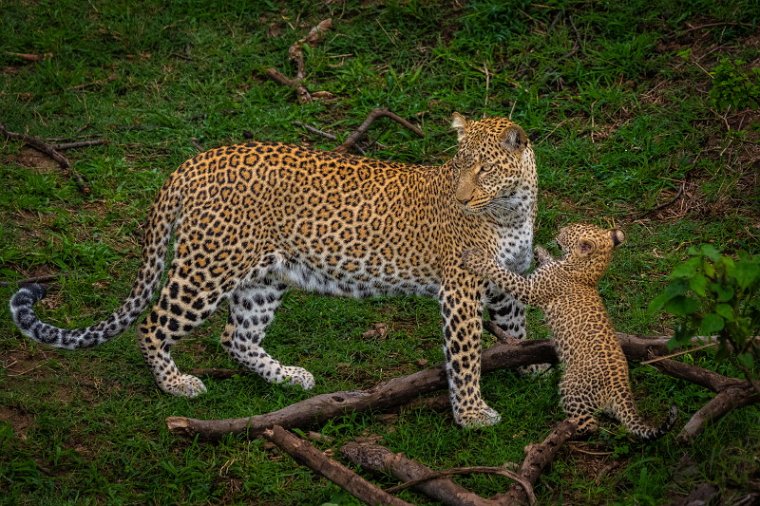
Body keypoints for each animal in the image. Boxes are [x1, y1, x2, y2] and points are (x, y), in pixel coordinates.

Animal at [10, 113, 536, 426]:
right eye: (458, 166)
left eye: (484, 169)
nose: (463, 199)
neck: (512, 210)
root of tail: (196, 160)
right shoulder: (461, 289)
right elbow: (465, 356)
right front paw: (473, 414)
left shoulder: (505, 279)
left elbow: (516, 323)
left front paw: (532, 365)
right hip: (207, 267)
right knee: (153, 324)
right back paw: (176, 385)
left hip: (263, 277)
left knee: (235, 336)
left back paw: (289, 378)